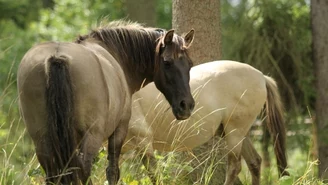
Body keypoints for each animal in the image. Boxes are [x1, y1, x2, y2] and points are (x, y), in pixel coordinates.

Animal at [17, 20, 195, 185]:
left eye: (190, 64)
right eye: (167, 62)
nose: (186, 105)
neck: (115, 54)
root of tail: (56, 57)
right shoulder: (119, 130)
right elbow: (113, 171)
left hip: (42, 139)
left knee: (54, 172)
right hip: (91, 136)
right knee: (83, 169)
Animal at [124, 60, 288, 185]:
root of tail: (261, 76)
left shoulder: (143, 141)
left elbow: (154, 175)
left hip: (235, 132)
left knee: (235, 167)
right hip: (239, 133)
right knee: (254, 162)